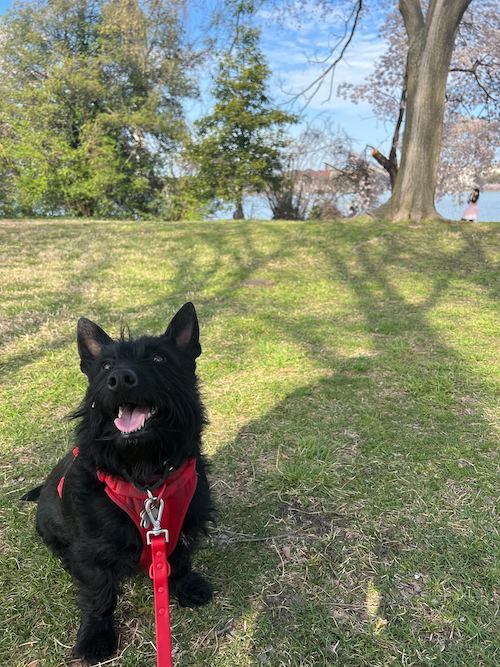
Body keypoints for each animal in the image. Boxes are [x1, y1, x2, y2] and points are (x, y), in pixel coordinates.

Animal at [22, 302, 214, 664]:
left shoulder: (181, 525)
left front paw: (187, 586)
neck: (144, 474)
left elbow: (180, 561)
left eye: (159, 359)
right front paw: (96, 637)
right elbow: (99, 596)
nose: (120, 379)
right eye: (106, 365)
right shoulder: (93, 552)